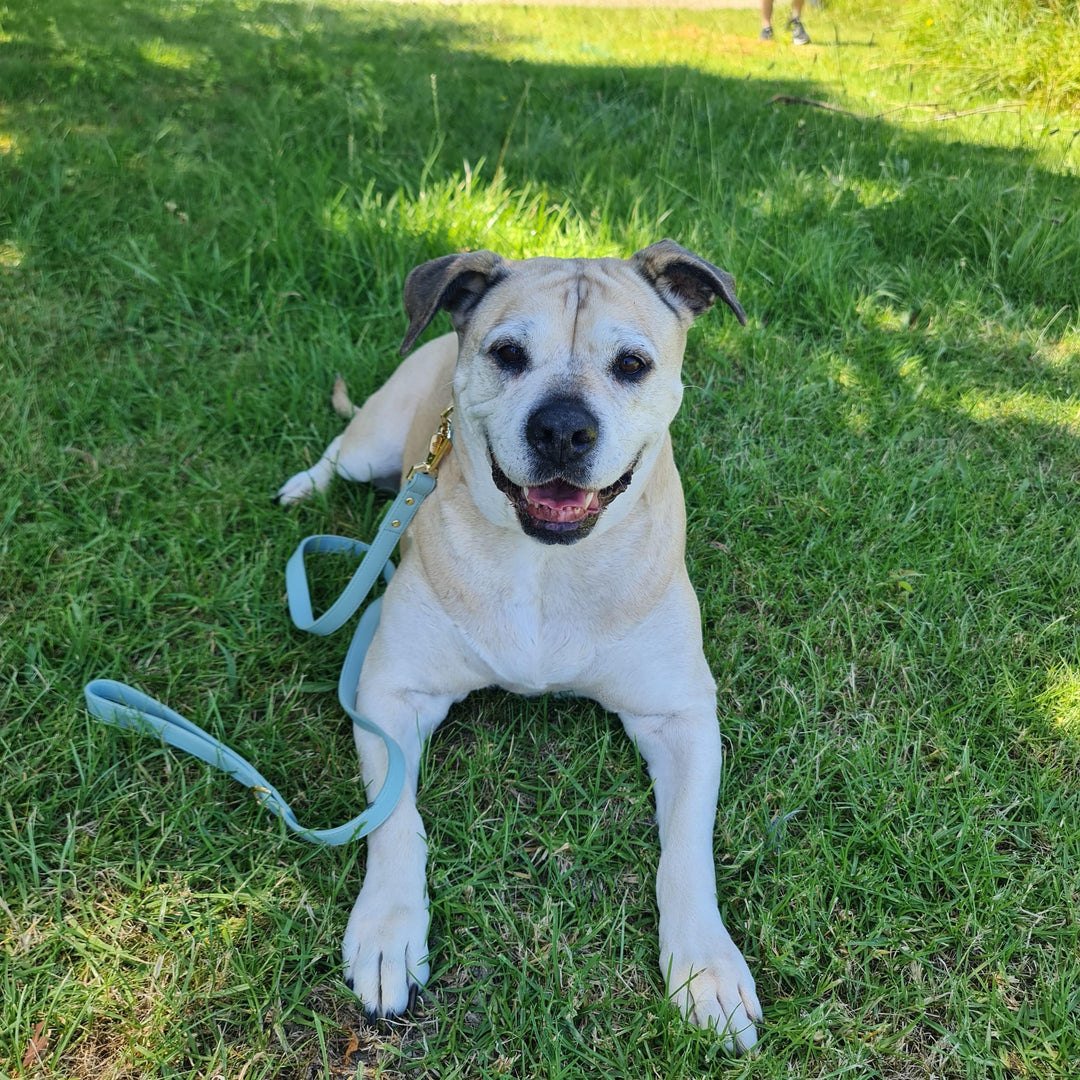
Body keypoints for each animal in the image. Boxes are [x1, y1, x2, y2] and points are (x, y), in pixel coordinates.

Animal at [276, 240, 760, 1049]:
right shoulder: (390, 692)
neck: (546, 564)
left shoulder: (680, 717)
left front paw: (706, 969)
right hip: (373, 443)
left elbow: (687, 851)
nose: (562, 429)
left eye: (632, 364)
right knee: (338, 454)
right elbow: (397, 822)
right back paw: (302, 487)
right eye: (507, 354)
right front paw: (388, 932)